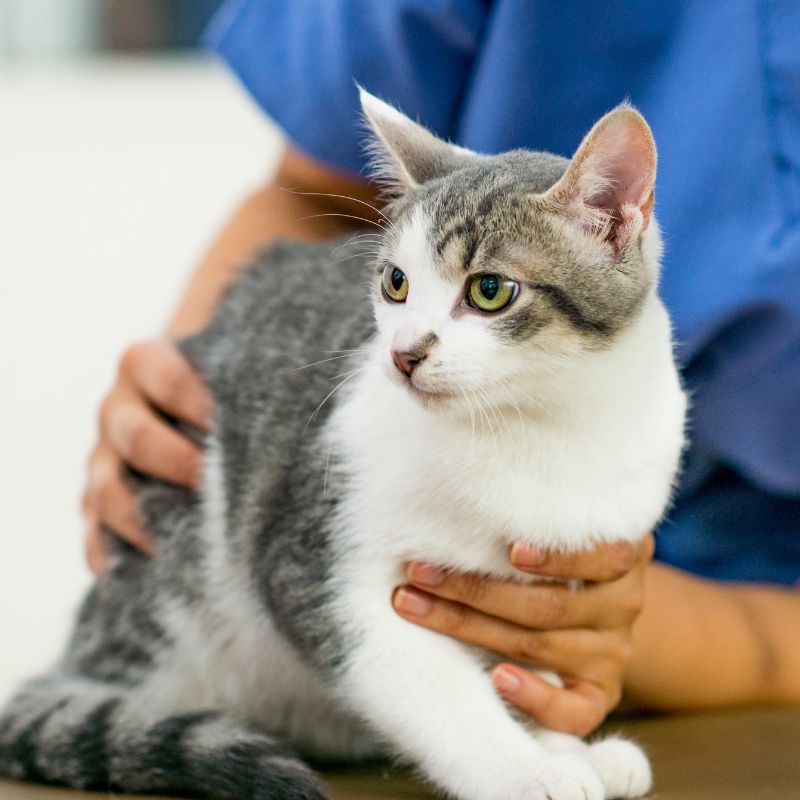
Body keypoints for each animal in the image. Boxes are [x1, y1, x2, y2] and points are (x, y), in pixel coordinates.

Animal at [0, 94, 688, 800]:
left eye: (490, 290)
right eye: (395, 283)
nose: (404, 353)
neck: (541, 424)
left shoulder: (553, 581)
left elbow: (531, 671)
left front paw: (563, 743)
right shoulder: (316, 564)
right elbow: (432, 687)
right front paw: (529, 770)